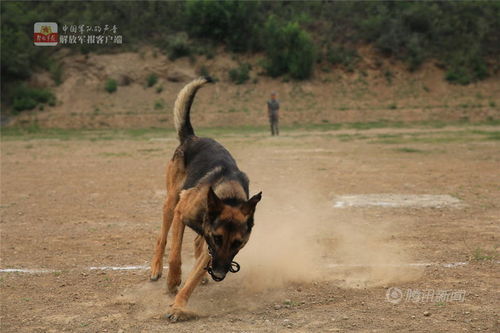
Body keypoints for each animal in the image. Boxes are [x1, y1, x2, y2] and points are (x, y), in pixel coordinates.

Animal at [148, 76, 264, 320]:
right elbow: (175, 256)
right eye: (219, 238)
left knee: (196, 243)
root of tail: (193, 137)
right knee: (162, 237)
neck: (228, 196)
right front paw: (173, 281)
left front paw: (179, 306)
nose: (218, 274)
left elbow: (193, 278)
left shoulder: (211, 250)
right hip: (171, 202)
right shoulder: (183, 216)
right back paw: (156, 269)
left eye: (238, 243)